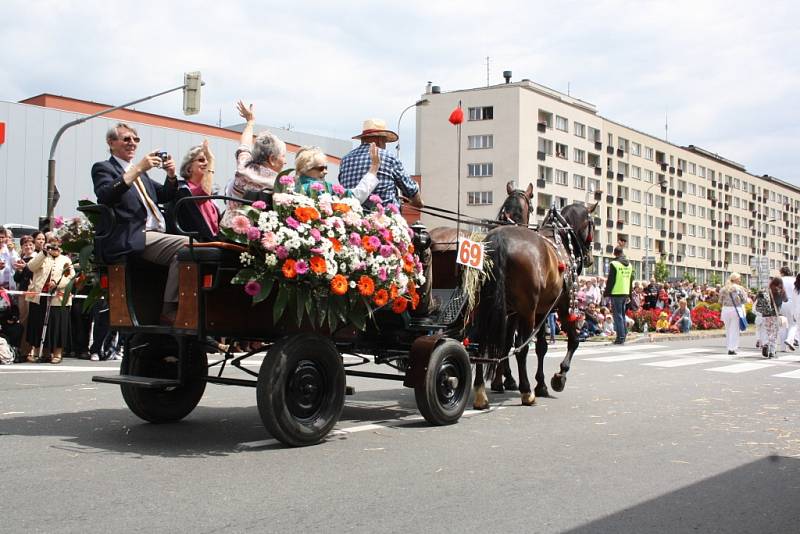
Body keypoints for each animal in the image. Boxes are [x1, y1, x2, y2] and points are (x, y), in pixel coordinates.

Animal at [472, 202, 596, 410]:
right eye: (592, 225)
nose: (590, 258)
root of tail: (498, 239)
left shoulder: (541, 311)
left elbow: (541, 347)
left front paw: (541, 384)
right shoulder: (561, 307)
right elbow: (573, 341)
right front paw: (559, 377)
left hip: (486, 308)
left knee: (482, 344)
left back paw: (481, 394)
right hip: (526, 312)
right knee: (520, 349)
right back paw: (526, 392)